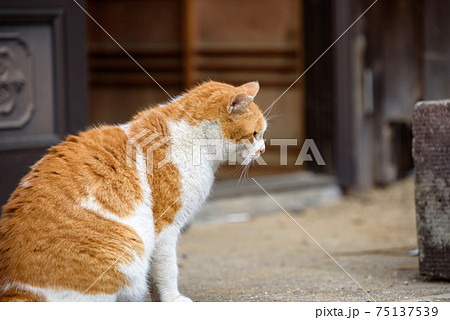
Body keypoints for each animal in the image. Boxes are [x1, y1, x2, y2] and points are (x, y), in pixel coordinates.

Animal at [0, 81, 268, 302]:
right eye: (255, 134)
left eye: (262, 134)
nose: (263, 150)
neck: (195, 141)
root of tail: (15, 290)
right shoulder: (165, 228)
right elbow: (168, 270)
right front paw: (173, 300)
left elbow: (154, 277)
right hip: (127, 249)